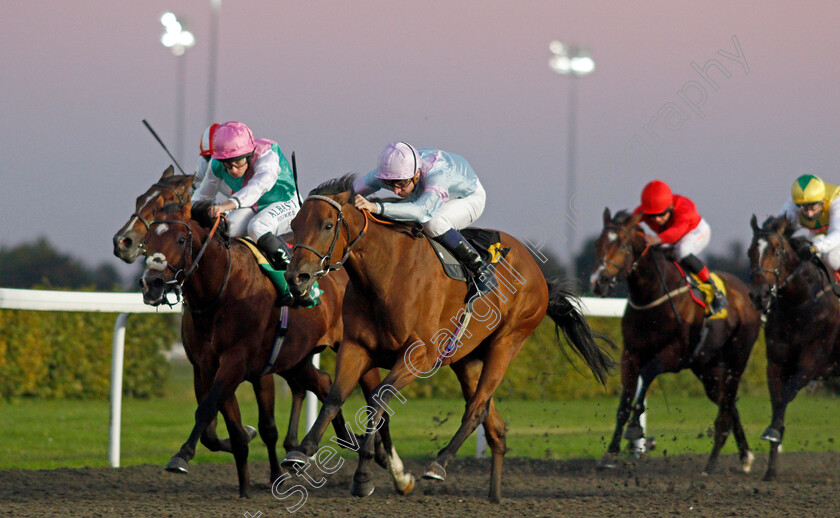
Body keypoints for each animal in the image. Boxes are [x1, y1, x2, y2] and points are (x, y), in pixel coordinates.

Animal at [139, 203, 412, 500]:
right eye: (146, 241)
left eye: (180, 239)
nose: (152, 284)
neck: (220, 294)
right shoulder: (205, 368)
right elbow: (219, 428)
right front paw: (245, 482)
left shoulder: (239, 362)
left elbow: (224, 414)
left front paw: (183, 456)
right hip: (299, 360)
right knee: (325, 383)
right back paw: (343, 440)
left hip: (358, 351)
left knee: (377, 402)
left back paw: (394, 470)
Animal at [278, 176, 612, 504]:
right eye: (294, 224)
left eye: (327, 225)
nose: (296, 277)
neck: (387, 273)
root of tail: (540, 276)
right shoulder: (356, 347)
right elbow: (335, 396)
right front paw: (301, 452)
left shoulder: (419, 355)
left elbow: (379, 399)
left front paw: (363, 477)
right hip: (466, 359)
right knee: (494, 424)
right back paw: (494, 495)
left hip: (507, 343)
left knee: (477, 407)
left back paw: (440, 463)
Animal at [592, 209, 760, 478]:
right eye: (598, 243)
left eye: (623, 245)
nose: (599, 281)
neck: (653, 296)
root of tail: (746, 292)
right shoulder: (631, 354)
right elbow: (624, 403)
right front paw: (610, 454)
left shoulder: (676, 355)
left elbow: (648, 374)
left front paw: (635, 427)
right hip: (708, 369)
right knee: (727, 402)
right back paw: (745, 456)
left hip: (737, 358)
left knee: (727, 403)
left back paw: (719, 461)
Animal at [748, 215, 840, 484]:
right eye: (750, 252)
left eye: (776, 251)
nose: (758, 295)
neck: (799, 303)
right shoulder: (775, 363)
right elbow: (778, 401)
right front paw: (770, 469)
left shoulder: (812, 362)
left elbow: (787, 393)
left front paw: (772, 432)